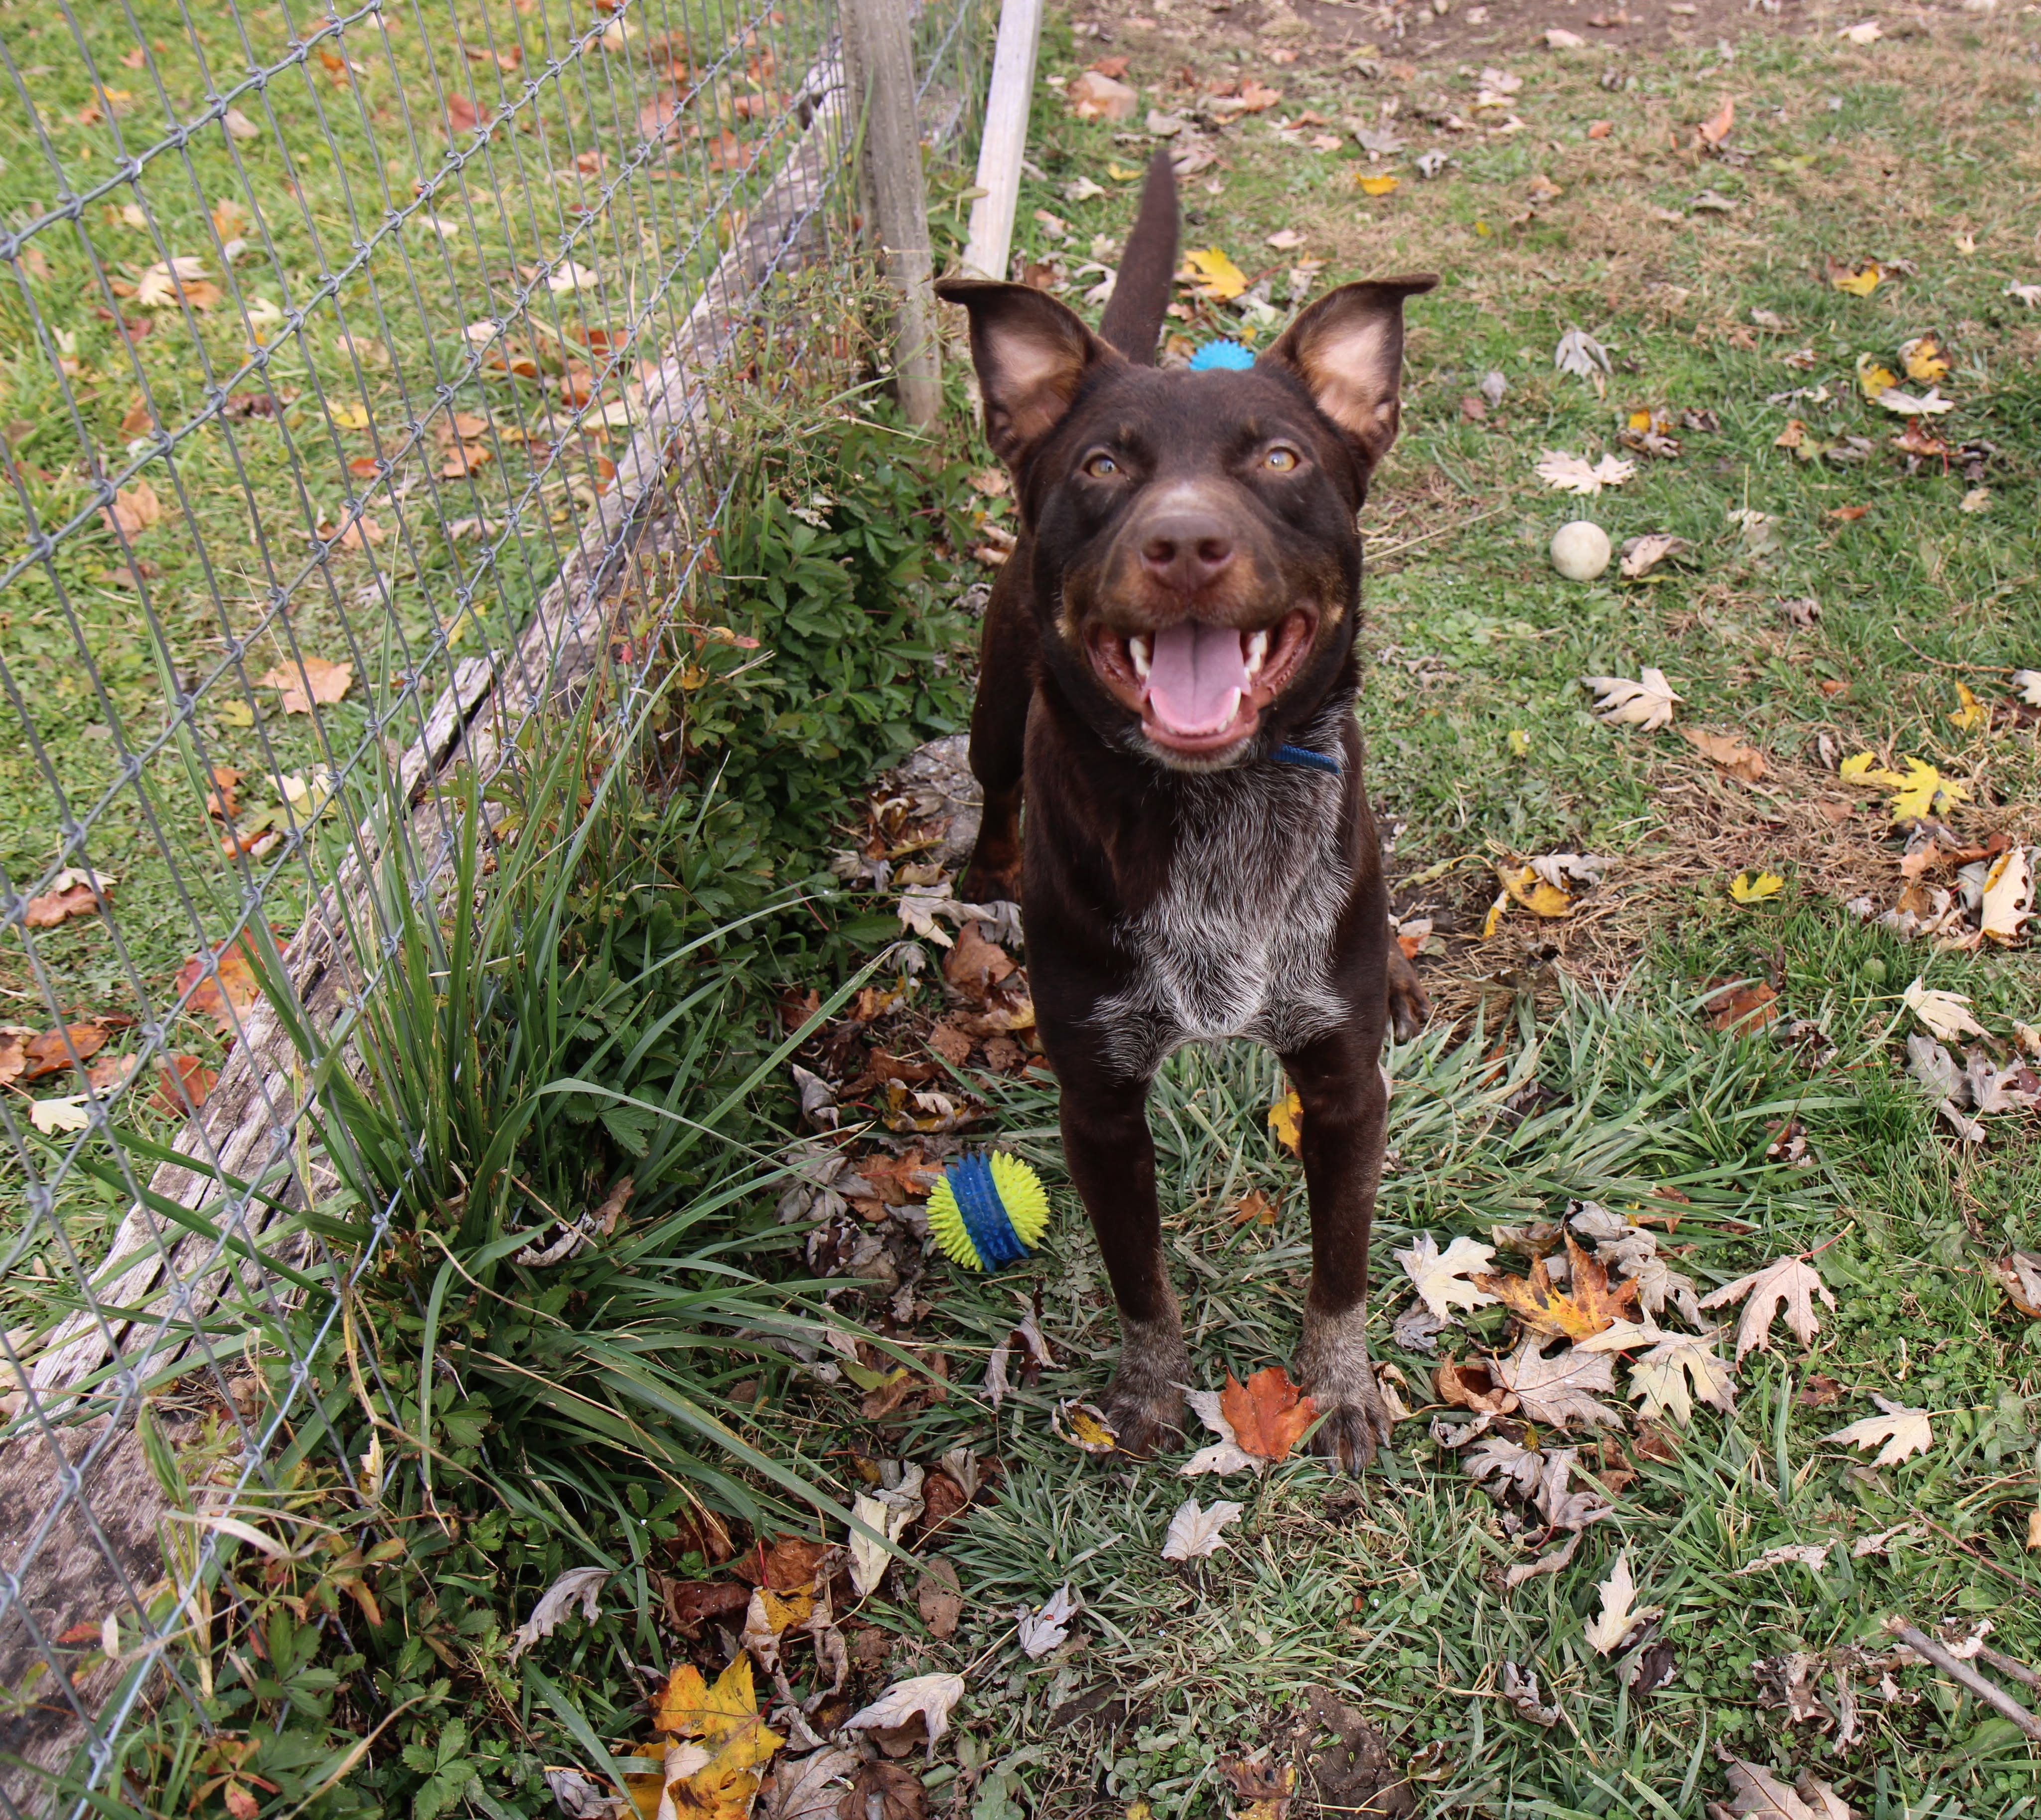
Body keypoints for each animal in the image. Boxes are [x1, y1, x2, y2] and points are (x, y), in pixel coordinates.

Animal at [935, 152, 1432, 1470]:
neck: (1211, 811)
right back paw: (984, 870)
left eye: (1281, 460)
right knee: (994, 782)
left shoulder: (1343, 1085)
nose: (1185, 541)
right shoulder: (1100, 1103)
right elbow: (1138, 1276)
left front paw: (1341, 1388)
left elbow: (1340, 1267)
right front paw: (1150, 1388)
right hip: (993, 704)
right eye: (1103, 466)